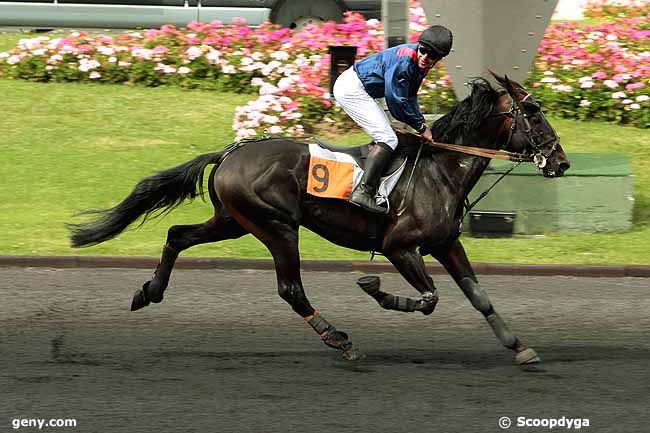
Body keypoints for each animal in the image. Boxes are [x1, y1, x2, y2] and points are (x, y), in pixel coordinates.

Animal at [68, 72, 568, 362]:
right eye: (533, 112)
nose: (561, 162)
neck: (439, 168)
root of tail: (230, 152)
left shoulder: (446, 243)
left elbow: (478, 296)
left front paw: (519, 346)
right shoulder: (400, 247)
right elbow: (428, 299)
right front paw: (374, 288)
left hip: (232, 221)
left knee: (177, 234)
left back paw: (149, 292)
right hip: (276, 226)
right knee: (290, 289)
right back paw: (338, 338)